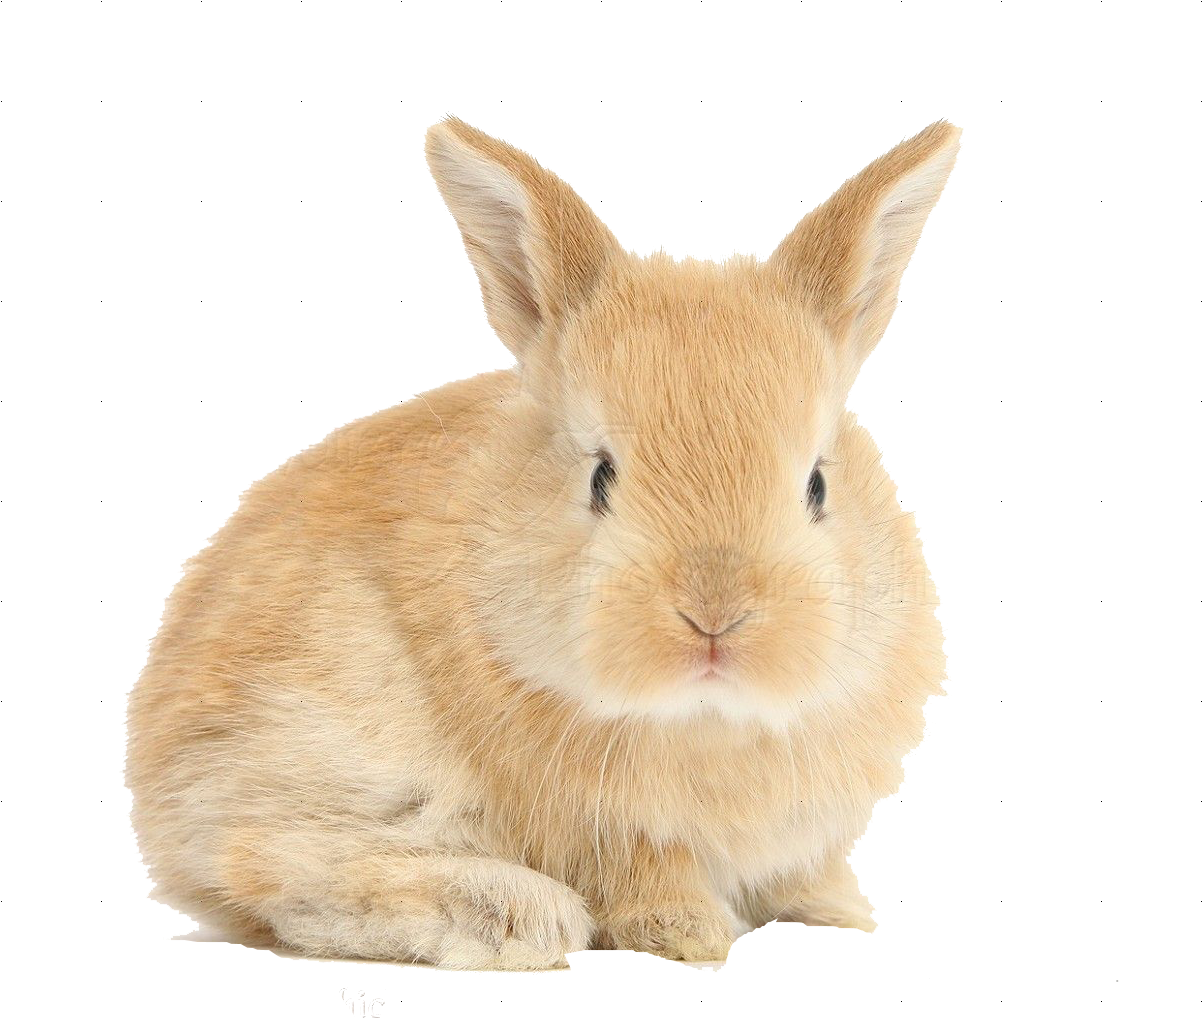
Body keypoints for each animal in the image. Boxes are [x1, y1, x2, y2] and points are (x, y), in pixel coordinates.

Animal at [125, 116, 958, 969]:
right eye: (599, 476)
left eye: (817, 486)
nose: (713, 619)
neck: (706, 718)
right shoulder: (608, 831)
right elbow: (649, 875)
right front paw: (690, 937)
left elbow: (805, 871)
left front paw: (841, 916)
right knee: (271, 871)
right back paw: (517, 917)